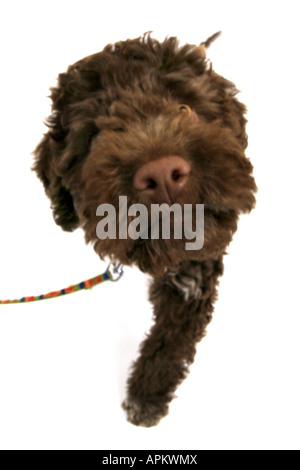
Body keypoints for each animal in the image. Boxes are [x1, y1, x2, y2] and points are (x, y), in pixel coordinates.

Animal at [34, 30, 256, 426]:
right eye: (95, 136)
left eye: (184, 108)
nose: (163, 174)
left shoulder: (193, 281)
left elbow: (169, 343)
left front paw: (146, 396)